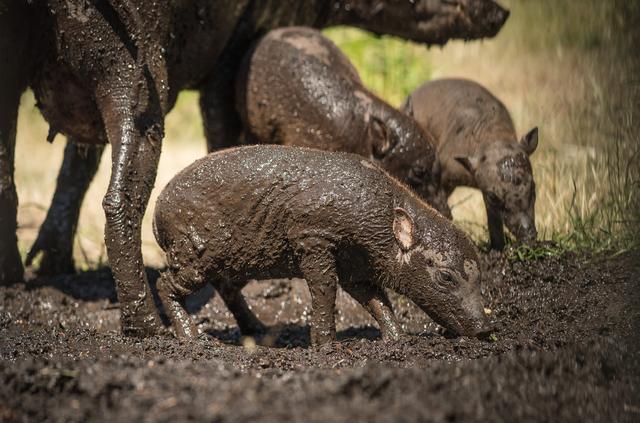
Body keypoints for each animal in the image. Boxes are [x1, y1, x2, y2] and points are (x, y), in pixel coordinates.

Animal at [152, 146, 492, 344]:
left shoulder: (357, 270)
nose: (487, 329)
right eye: (445, 277)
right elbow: (325, 288)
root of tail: (156, 214)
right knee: (164, 283)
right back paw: (194, 338)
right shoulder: (313, 237)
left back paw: (259, 330)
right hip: (195, 255)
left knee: (226, 288)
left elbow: (377, 299)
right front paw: (328, 346)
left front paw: (398, 341)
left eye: (479, 277)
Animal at [404, 79, 540, 250]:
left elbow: (494, 221)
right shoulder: (447, 175)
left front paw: (497, 249)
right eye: (493, 197)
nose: (528, 236)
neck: (493, 135)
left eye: (533, 187)